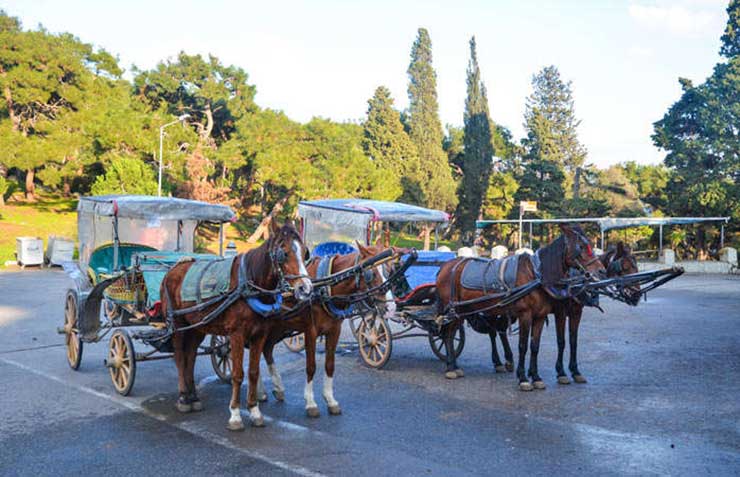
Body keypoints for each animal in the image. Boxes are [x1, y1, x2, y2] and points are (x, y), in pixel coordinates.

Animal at [160, 221, 314, 430]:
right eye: (284, 253)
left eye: (305, 252)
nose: (306, 288)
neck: (249, 285)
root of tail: (172, 270)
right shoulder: (237, 335)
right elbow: (237, 374)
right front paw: (235, 414)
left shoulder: (260, 334)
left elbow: (253, 372)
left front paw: (254, 410)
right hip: (177, 325)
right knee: (179, 357)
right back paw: (184, 397)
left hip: (197, 326)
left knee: (190, 355)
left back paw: (193, 396)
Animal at [260, 244, 396, 414]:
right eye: (371, 273)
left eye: (389, 270)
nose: (391, 308)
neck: (325, 288)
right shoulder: (310, 331)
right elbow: (311, 366)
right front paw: (310, 402)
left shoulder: (334, 330)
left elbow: (330, 365)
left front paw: (330, 400)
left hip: (278, 326)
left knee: (266, 350)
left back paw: (276, 389)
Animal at [436, 225, 604, 388]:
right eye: (581, 246)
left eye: (590, 245)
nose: (601, 270)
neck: (537, 275)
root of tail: (445, 266)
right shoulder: (528, 314)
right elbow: (524, 345)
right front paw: (523, 377)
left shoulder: (541, 316)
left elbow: (535, 346)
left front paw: (536, 377)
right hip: (453, 310)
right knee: (448, 334)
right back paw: (451, 367)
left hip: (462, 311)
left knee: (453, 333)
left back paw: (455, 366)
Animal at [552, 242, 640, 384]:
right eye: (625, 267)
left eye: (636, 267)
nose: (637, 295)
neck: (574, 280)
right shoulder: (560, 312)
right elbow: (561, 341)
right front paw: (561, 372)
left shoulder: (576, 312)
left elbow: (573, 340)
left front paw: (575, 371)